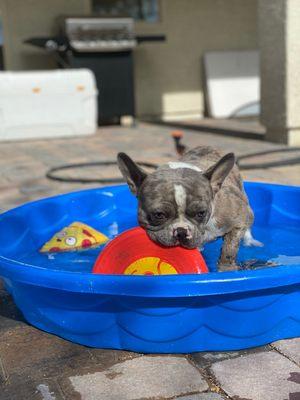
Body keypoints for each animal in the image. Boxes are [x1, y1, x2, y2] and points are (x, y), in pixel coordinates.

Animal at [117, 145, 262, 270]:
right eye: (158, 215)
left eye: (201, 213)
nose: (181, 231)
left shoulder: (240, 219)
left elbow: (229, 249)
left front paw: (226, 267)